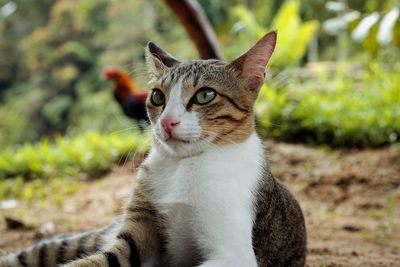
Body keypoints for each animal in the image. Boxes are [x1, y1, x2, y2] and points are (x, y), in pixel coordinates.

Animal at [0, 30, 306, 266]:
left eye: (205, 95)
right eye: (158, 97)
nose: (168, 122)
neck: (184, 165)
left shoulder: (232, 253)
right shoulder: (135, 230)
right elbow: (102, 259)